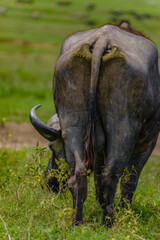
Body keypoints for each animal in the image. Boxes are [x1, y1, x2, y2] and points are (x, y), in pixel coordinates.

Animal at [29, 22, 160, 225]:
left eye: (52, 149)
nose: (49, 184)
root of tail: (102, 40)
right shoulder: (148, 142)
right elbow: (129, 179)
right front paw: (125, 212)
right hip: (122, 128)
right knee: (110, 176)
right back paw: (109, 222)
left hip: (74, 121)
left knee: (79, 174)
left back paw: (77, 221)